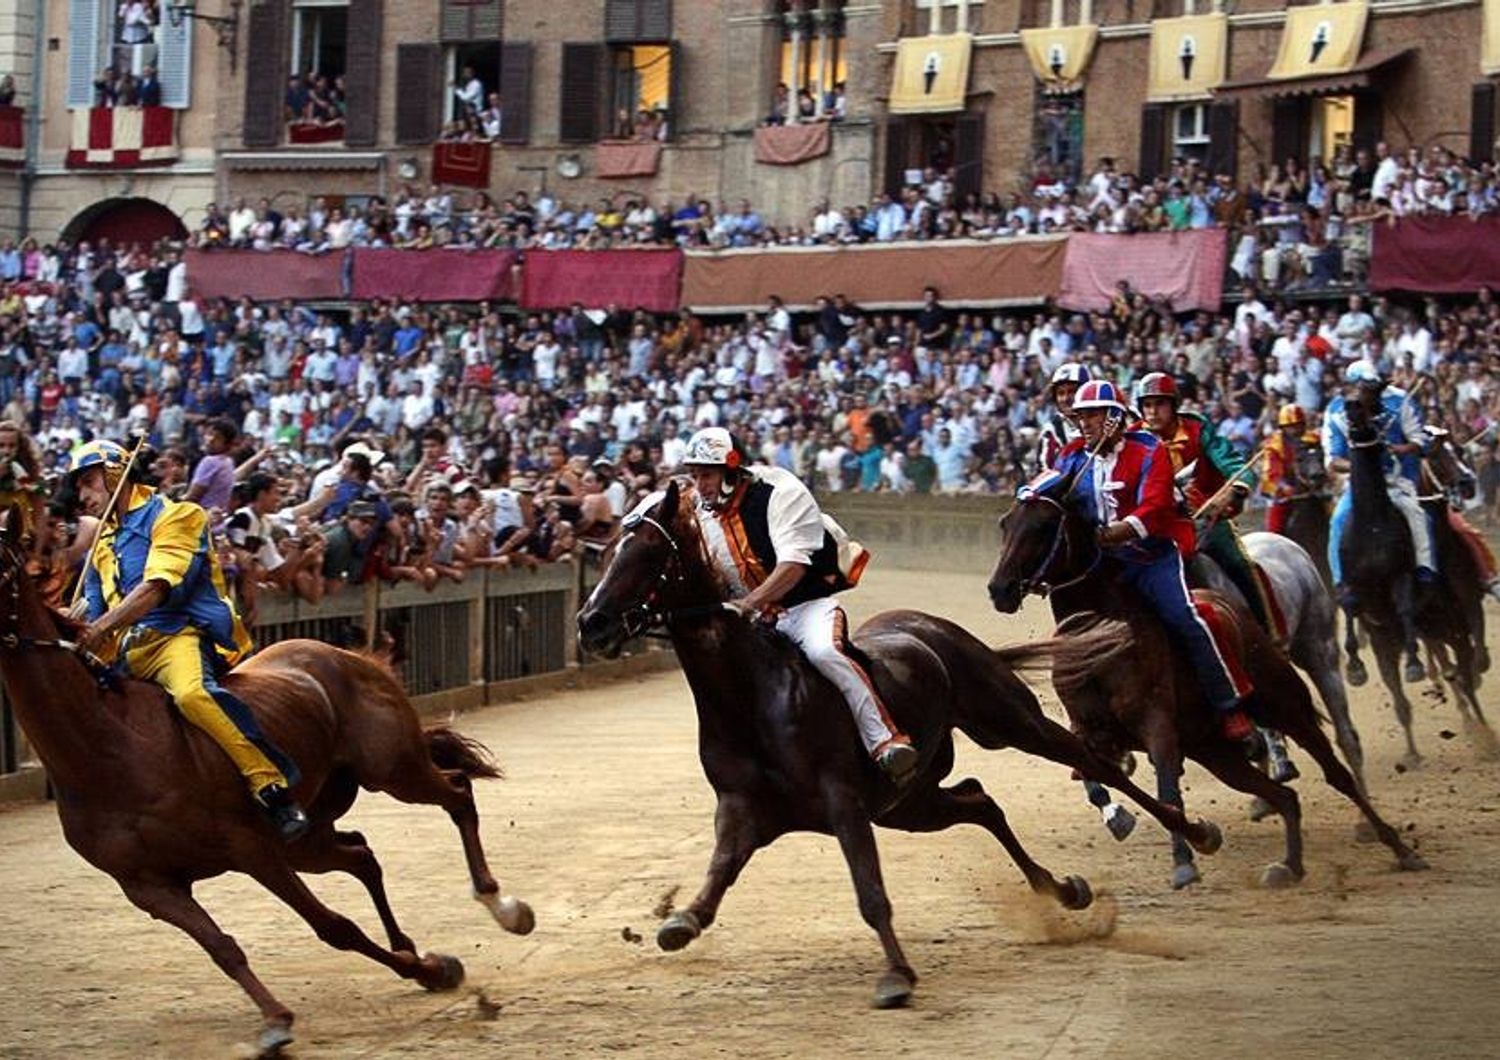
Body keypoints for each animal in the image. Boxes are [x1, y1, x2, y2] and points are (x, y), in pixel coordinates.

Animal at [0, 512, 534, 1055]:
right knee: (361, 853)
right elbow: (224, 948)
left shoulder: (250, 848)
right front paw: (287, 1013)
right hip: (309, 834)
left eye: (1, 559)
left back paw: (503, 906)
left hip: (392, 769)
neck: (111, 752)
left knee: (457, 792)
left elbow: (332, 926)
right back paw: (419, 952)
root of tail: (345, 655)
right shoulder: (147, 886)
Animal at [573, 485, 1218, 1007]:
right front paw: (678, 921)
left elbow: (871, 893)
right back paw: (1064, 889)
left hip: (1012, 722)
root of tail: (935, 628)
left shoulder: (843, 801)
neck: (751, 697)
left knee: (1095, 764)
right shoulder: (743, 809)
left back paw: (1194, 833)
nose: (591, 622)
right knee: (980, 800)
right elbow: (716, 879)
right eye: (604, 554)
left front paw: (897, 975)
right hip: (909, 803)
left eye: (648, 555)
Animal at [984, 467, 1428, 893]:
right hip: (1215, 751)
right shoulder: (1088, 728)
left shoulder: (1158, 725)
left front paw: (1184, 862)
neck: (1100, 635)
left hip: (1293, 697)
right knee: (1285, 796)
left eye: (1044, 526)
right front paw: (1120, 817)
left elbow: (1167, 790)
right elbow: (1094, 777)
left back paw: (1396, 845)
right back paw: (1290, 864)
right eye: (1006, 522)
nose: (999, 589)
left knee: (1337, 767)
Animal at [1338, 389, 1488, 761]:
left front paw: (1417, 666)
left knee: (1463, 674)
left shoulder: (1419, 584)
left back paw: (1481, 731)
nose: (1467, 483)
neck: (1373, 525)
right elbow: (1348, 606)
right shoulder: (1355, 589)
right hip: (1410, 635)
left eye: (1459, 451)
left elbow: (1409, 605)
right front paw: (1355, 666)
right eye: (1436, 455)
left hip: (1448, 626)